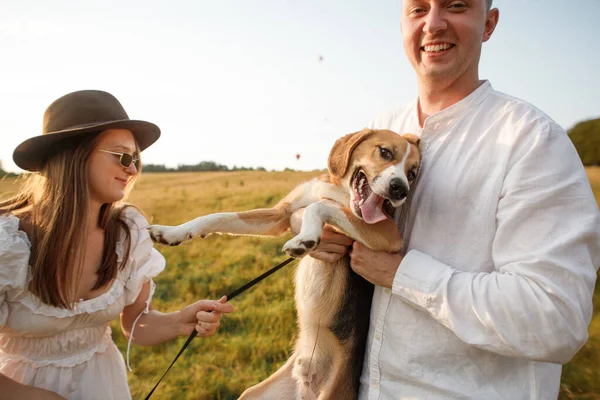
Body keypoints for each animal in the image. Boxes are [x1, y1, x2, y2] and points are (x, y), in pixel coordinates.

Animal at [149, 129, 422, 400]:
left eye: (412, 174)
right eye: (385, 152)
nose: (400, 190)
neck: (338, 189)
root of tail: (307, 379)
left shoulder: (387, 234)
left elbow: (319, 206)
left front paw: (305, 239)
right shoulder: (280, 214)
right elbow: (217, 217)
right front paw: (173, 232)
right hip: (251, 395)